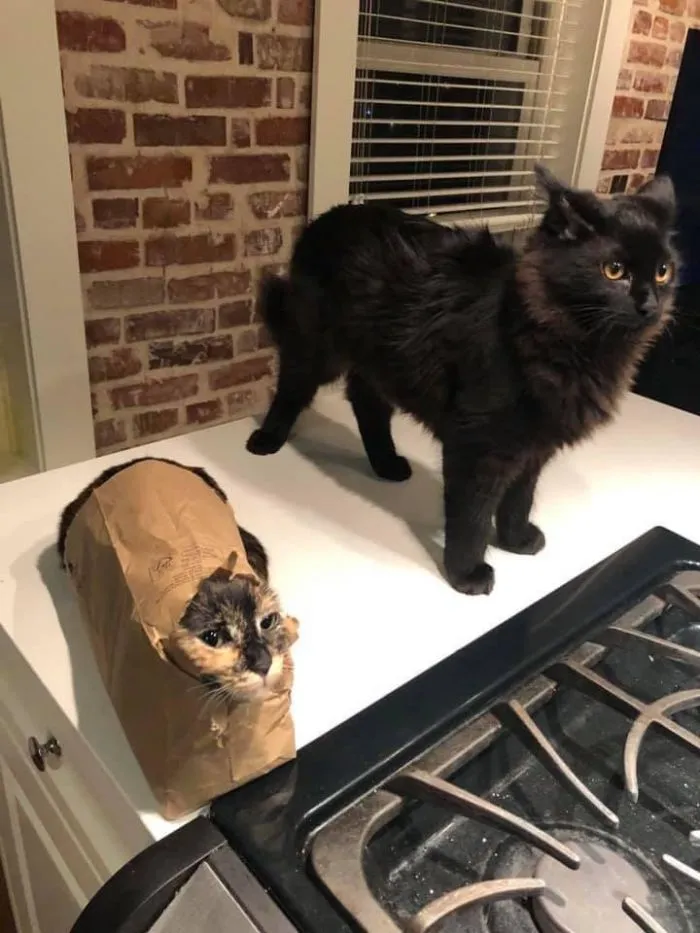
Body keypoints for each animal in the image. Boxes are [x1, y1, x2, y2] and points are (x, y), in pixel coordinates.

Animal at [246, 165, 678, 596]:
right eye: (614, 271)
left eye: (663, 271)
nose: (649, 305)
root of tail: (326, 218)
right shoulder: (477, 445)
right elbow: (471, 518)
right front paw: (466, 573)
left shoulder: (534, 447)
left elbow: (519, 500)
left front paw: (516, 540)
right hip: (318, 348)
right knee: (292, 387)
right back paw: (267, 440)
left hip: (383, 363)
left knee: (366, 403)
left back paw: (386, 463)